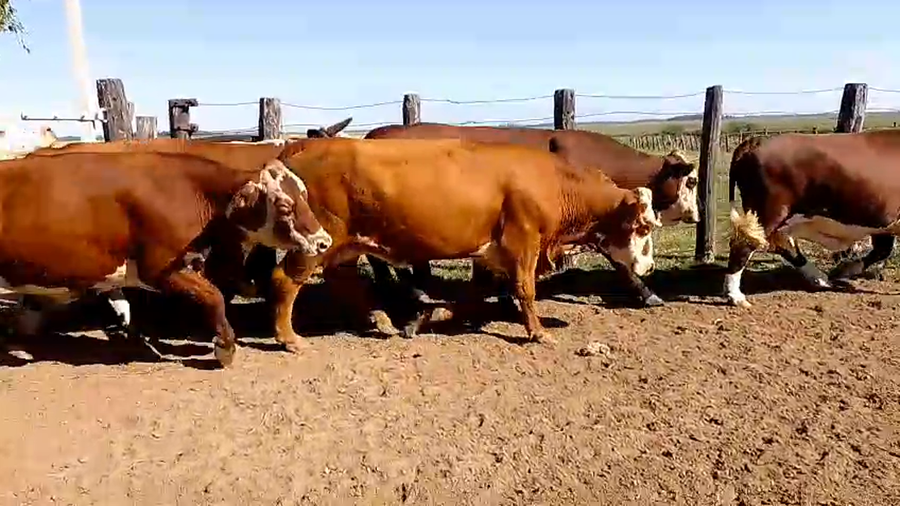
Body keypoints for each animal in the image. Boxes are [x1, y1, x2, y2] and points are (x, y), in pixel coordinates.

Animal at [0, 150, 331, 367]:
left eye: (303, 195)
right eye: (285, 206)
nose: (323, 241)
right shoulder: (159, 269)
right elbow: (214, 297)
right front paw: (225, 348)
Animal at [249, 137, 660, 351]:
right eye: (642, 225)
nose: (650, 267)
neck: (552, 182)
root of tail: (304, 145)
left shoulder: (490, 249)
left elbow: (472, 295)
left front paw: (427, 318)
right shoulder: (523, 242)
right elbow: (524, 290)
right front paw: (538, 332)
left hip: (344, 245)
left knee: (344, 281)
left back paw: (379, 319)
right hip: (317, 242)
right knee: (285, 281)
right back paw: (288, 337)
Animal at [725, 130, 900, 308]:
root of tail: (757, 141)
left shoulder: (884, 224)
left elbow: (882, 250)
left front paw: (843, 270)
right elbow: (883, 251)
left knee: (785, 246)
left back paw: (821, 279)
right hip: (765, 214)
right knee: (743, 245)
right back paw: (736, 296)